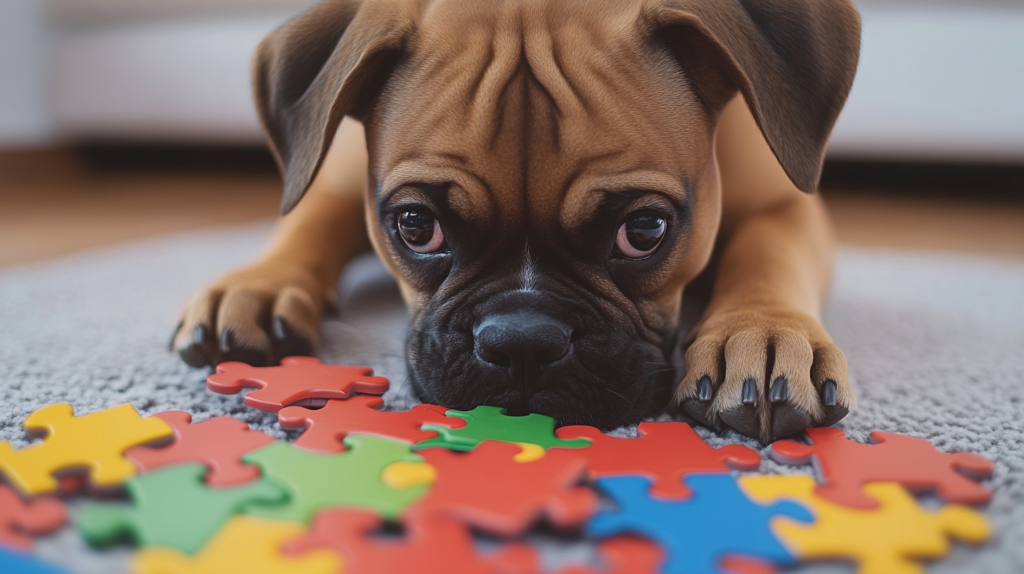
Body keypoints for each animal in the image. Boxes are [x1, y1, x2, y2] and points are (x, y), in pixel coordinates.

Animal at [172, 0, 860, 439]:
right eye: (416, 226)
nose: (523, 341)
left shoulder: (785, 206)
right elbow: (307, 214)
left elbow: (765, 254)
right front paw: (258, 285)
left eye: (644, 232)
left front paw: (763, 336)